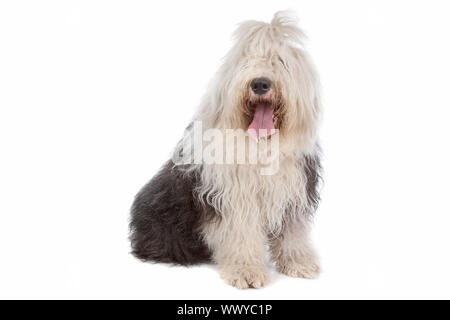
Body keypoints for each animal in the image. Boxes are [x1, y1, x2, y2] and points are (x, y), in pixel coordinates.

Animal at [128, 11, 322, 288]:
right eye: (246, 62)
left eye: (280, 61)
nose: (260, 83)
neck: (261, 145)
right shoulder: (233, 197)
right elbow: (241, 233)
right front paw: (245, 271)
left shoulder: (293, 190)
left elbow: (292, 232)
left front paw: (298, 263)